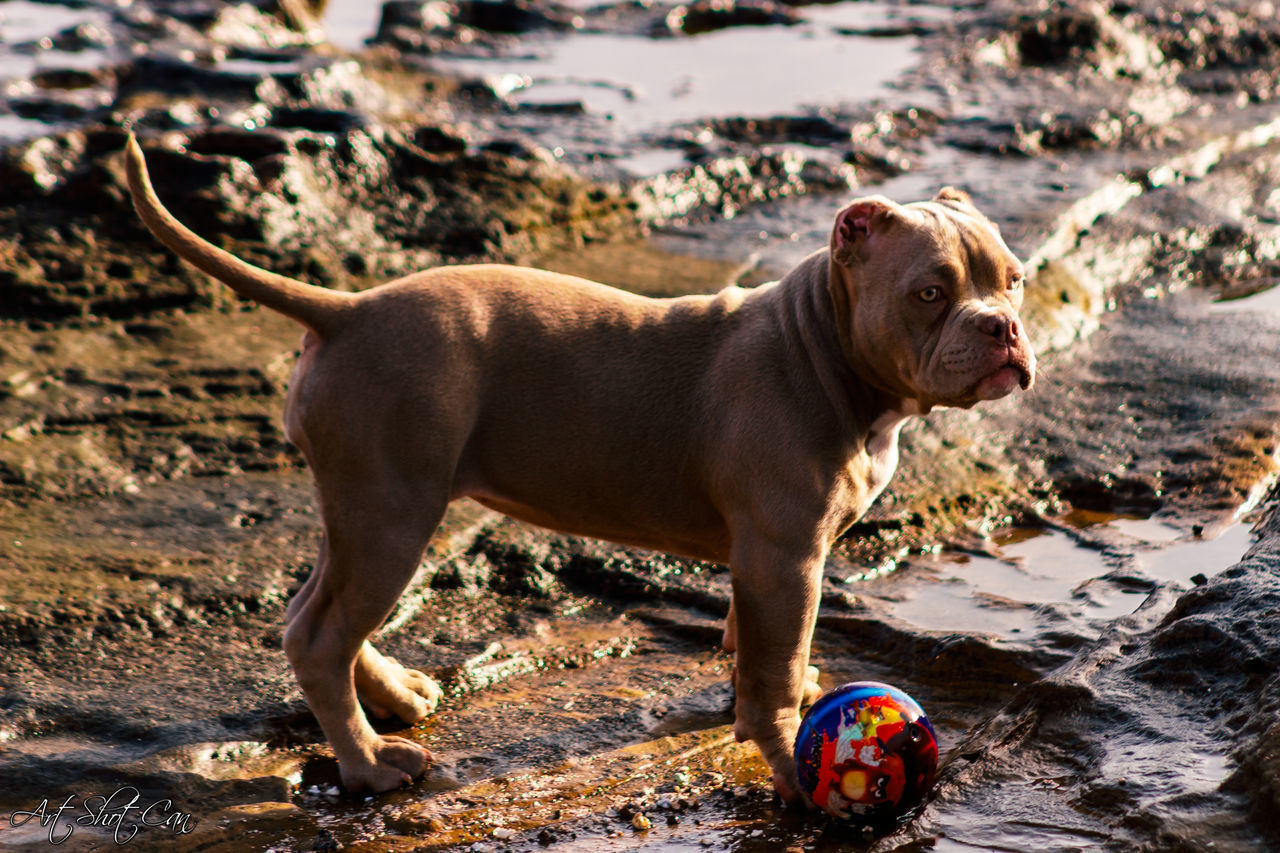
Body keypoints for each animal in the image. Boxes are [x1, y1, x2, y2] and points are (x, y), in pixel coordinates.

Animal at [124, 133, 1034, 799]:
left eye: (1015, 280)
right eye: (929, 292)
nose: (1003, 328)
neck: (826, 347)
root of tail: (344, 308)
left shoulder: (768, 564)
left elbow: (761, 649)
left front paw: (788, 682)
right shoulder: (785, 558)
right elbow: (771, 678)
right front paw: (789, 765)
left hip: (364, 504)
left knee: (315, 609)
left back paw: (392, 698)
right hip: (391, 510)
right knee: (318, 633)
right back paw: (368, 763)